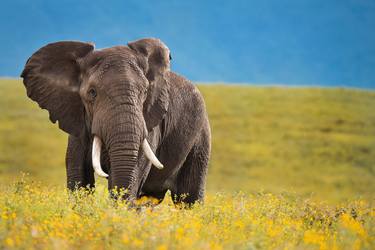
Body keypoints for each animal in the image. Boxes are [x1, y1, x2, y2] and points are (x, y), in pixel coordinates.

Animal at [20, 37, 212, 205]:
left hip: (200, 139)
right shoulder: (77, 123)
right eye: (92, 92)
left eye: (145, 92)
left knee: (188, 198)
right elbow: (78, 176)